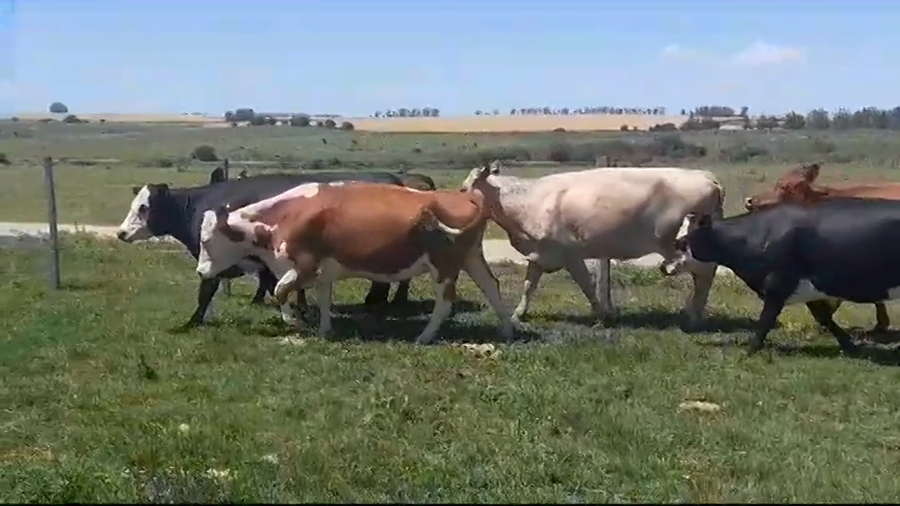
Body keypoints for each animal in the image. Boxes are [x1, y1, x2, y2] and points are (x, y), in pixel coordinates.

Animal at [194, 178, 516, 344]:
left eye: (206, 241)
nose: (200, 270)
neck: (285, 216)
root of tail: (466, 197)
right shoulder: (321, 270)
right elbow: (322, 299)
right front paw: (324, 329)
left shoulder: (303, 266)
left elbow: (280, 292)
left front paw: (295, 321)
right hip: (472, 257)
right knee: (491, 286)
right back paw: (508, 328)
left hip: (444, 266)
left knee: (446, 301)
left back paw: (425, 336)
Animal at [460, 162, 724, 327]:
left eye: (463, 188)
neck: (525, 201)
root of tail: (706, 176)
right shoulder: (541, 253)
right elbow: (529, 285)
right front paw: (518, 314)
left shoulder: (568, 253)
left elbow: (585, 284)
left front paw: (601, 314)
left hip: (682, 248)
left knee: (704, 275)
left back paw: (694, 316)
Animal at [677, 197, 900, 355]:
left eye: (683, 240)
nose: (668, 263)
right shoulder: (806, 288)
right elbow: (824, 317)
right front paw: (849, 346)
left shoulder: (777, 284)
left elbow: (765, 320)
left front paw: (750, 350)